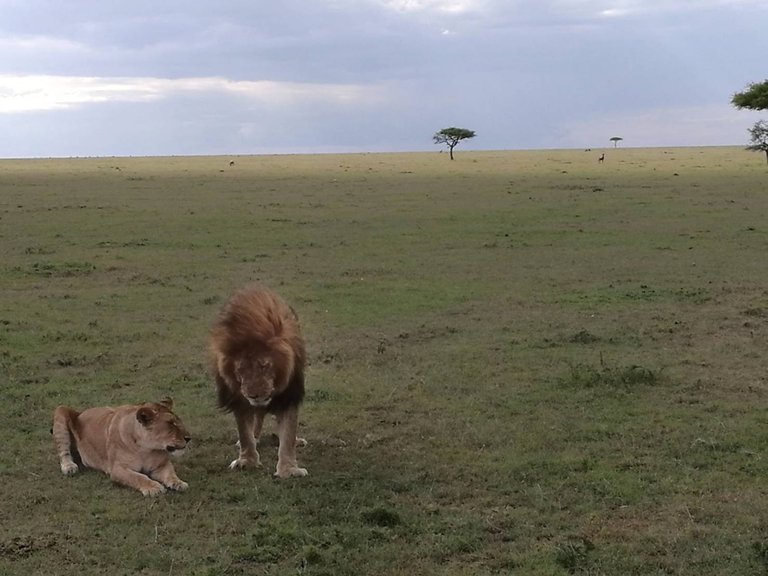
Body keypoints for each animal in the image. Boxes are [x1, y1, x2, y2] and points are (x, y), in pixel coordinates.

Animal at [52, 396, 189, 496]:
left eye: (179, 421)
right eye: (170, 424)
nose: (189, 438)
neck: (146, 449)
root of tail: (82, 412)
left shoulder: (161, 465)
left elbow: (170, 473)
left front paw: (178, 483)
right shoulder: (117, 469)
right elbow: (139, 477)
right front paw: (153, 487)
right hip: (61, 410)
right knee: (63, 451)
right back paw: (69, 467)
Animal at [212, 284, 308, 476]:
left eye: (264, 365)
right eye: (240, 369)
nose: (253, 395)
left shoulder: (289, 394)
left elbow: (288, 433)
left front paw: (288, 469)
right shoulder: (238, 397)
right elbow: (244, 431)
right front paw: (247, 461)